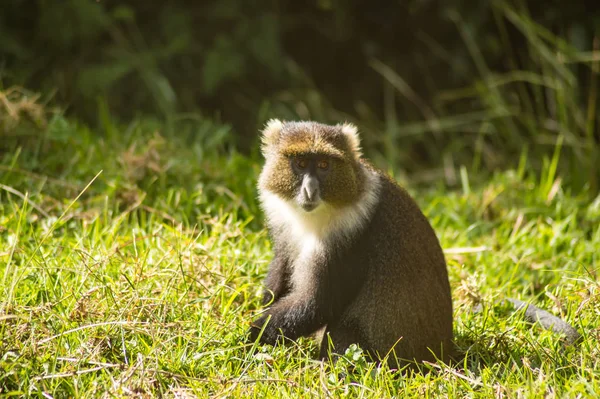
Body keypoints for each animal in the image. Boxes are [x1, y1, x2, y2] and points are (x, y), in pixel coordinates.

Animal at [248, 120, 580, 370]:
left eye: (325, 164)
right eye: (300, 163)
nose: (309, 190)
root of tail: (445, 351)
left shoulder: (351, 235)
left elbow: (317, 301)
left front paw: (249, 336)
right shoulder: (282, 222)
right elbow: (280, 274)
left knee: (344, 328)